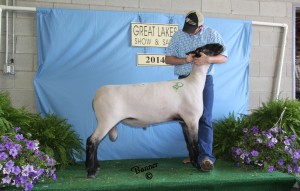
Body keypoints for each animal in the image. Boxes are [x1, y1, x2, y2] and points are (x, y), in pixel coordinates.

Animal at [85, 43, 224, 178]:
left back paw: (95, 167)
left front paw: (194, 163)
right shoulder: (192, 119)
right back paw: (91, 172)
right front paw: (199, 167)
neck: (194, 83)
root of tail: (95, 96)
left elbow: (189, 144)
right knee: (92, 141)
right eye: (206, 47)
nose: (221, 45)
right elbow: (195, 144)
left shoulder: (184, 122)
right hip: (107, 120)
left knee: (95, 142)